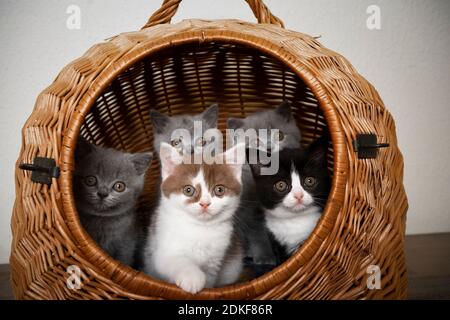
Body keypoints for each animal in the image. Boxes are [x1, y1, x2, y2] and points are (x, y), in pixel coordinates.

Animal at [143, 144, 243, 294]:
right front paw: (192, 278)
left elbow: (210, 278)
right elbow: (177, 260)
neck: (200, 228)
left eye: (219, 190)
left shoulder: (213, 262)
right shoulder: (161, 252)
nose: (205, 203)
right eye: (188, 190)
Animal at [227, 101, 300, 266]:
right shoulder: (250, 212)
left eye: (279, 136)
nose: (268, 148)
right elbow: (258, 234)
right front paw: (265, 258)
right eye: (256, 142)